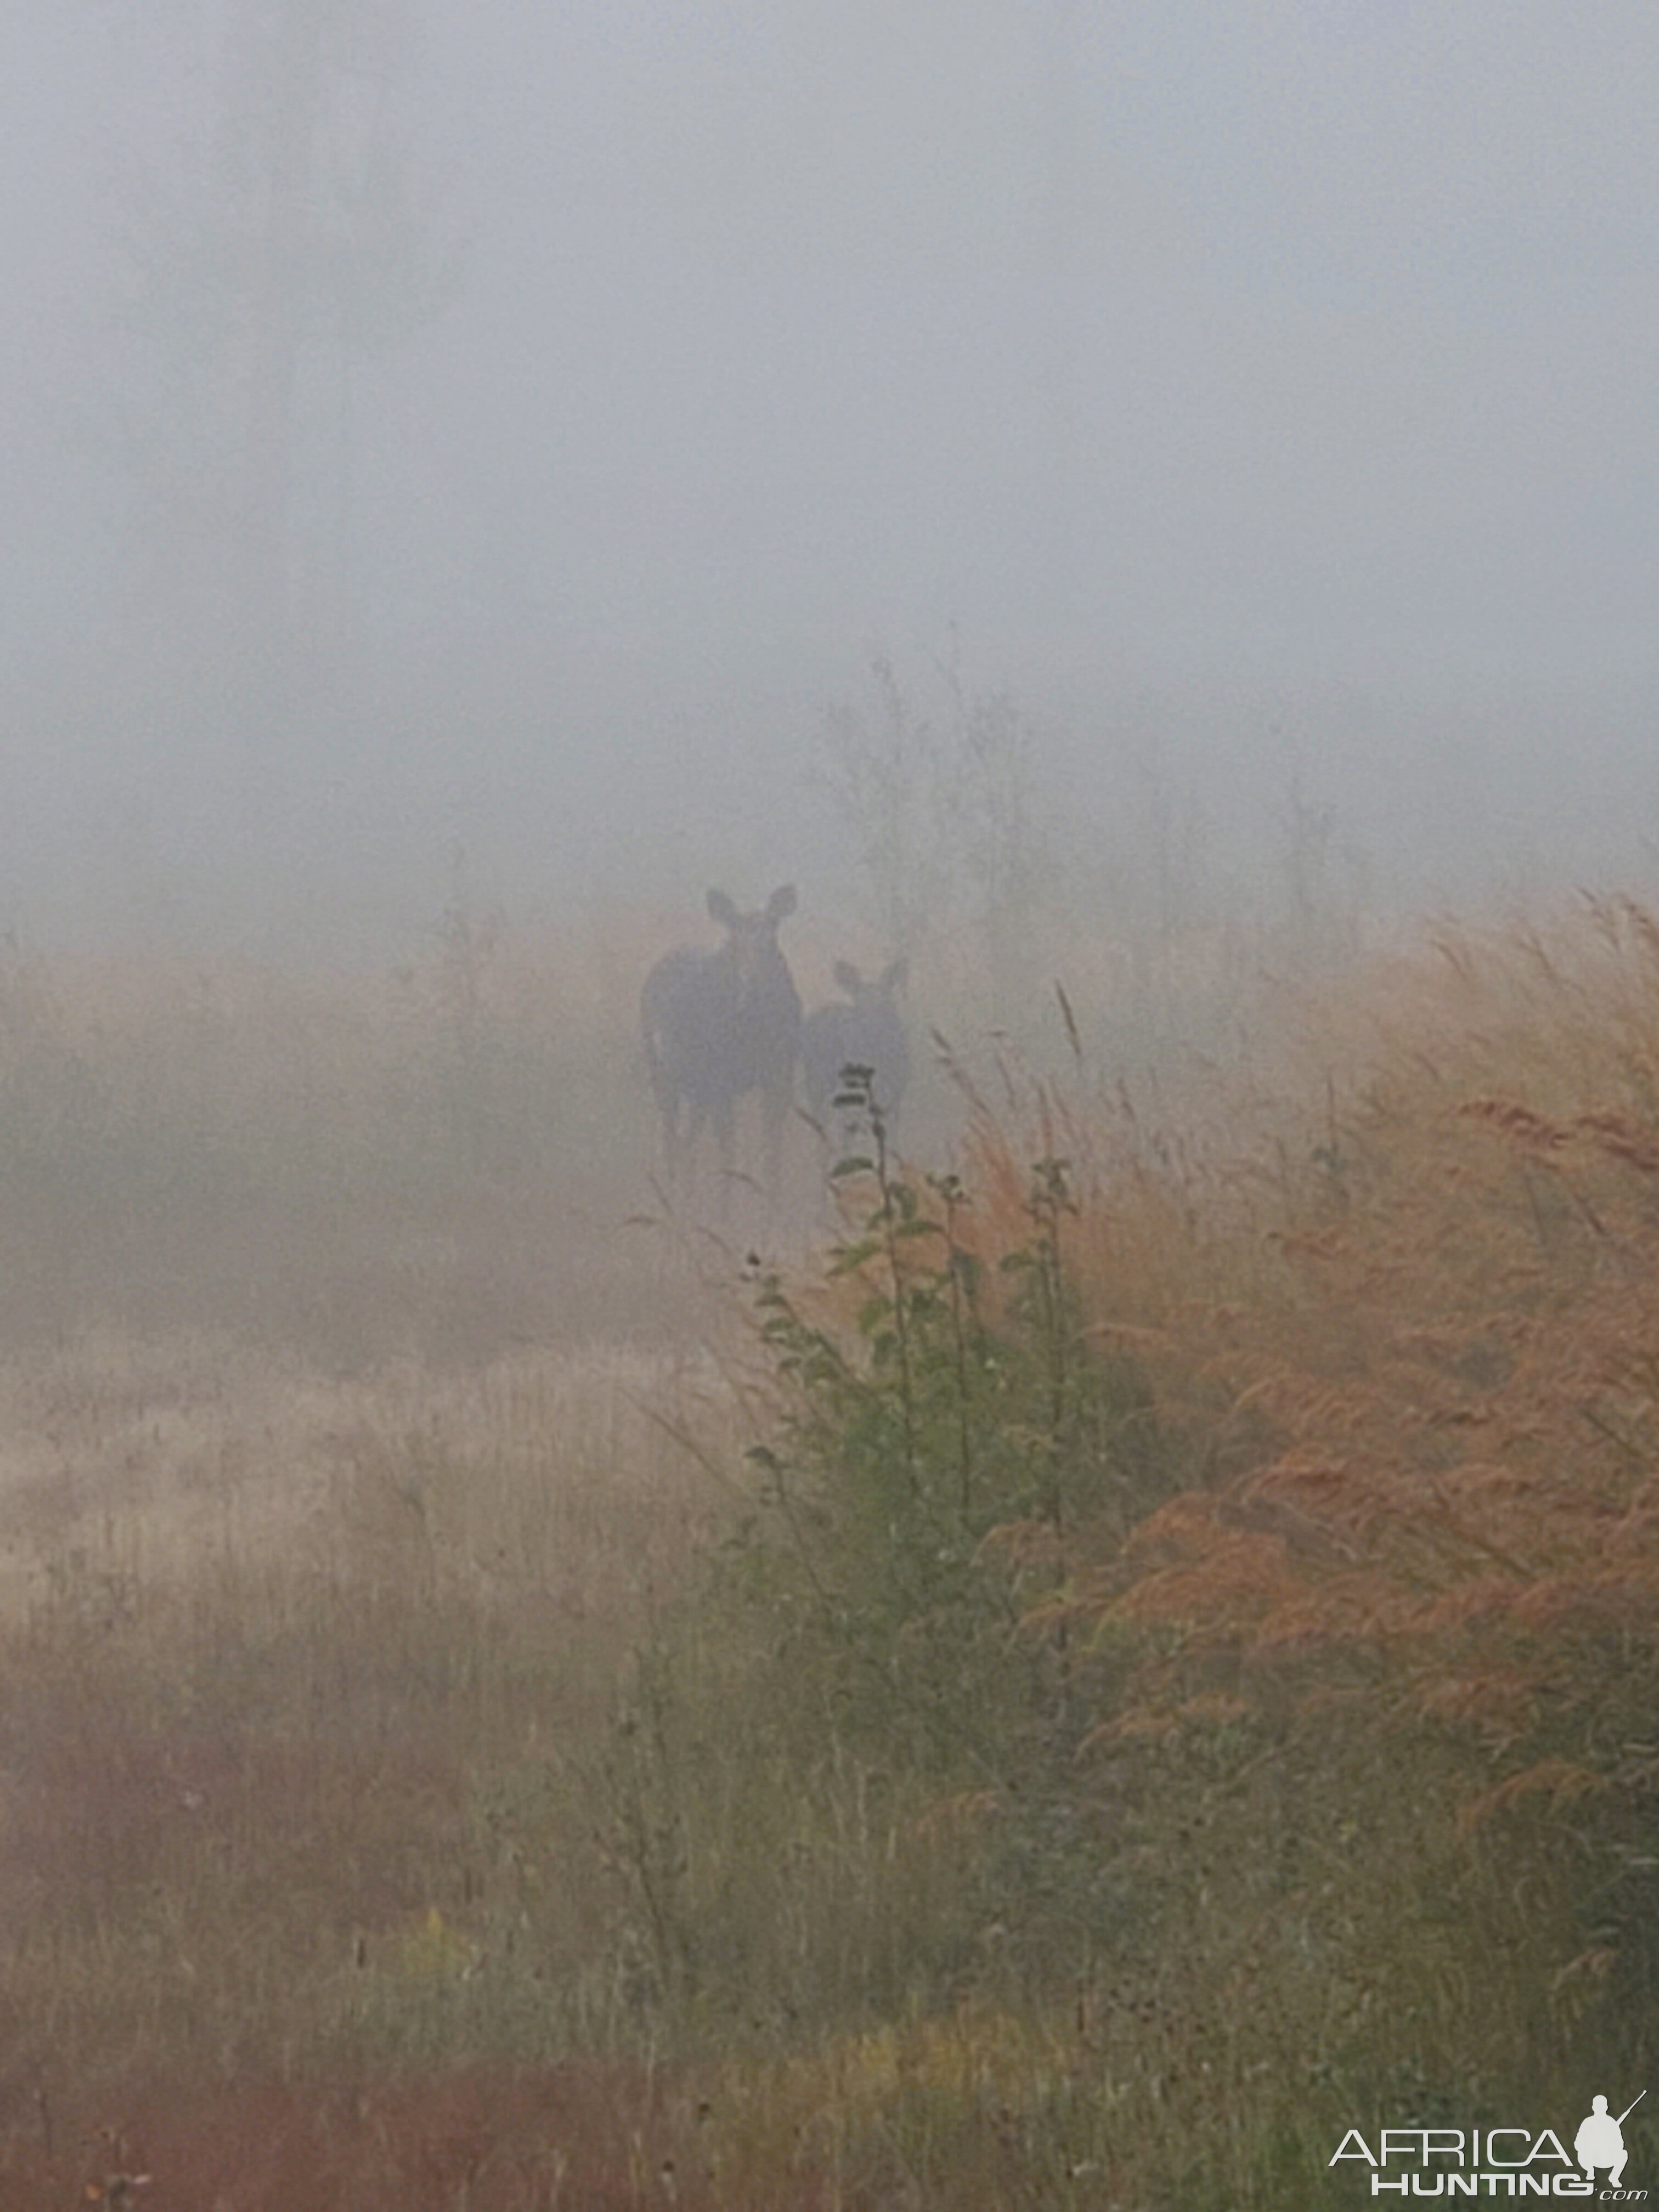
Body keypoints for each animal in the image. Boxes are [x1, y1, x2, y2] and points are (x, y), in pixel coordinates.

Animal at [641, 880, 805, 1203]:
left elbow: (772, 1152)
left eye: (772, 934)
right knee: (671, 1139)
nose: (753, 987)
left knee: (687, 1139)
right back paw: (671, 1200)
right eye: (735, 941)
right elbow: (728, 1152)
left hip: (696, 1088)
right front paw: (724, 1211)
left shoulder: (780, 1078)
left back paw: (687, 1196)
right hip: (663, 1074)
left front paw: (774, 1209)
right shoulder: (720, 1084)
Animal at [800, 964, 916, 1177]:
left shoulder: (896, 1093)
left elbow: (892, 1138)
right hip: (818, 1086)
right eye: (859, 1002)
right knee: (827, 1134)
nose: (872, 1024)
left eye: (886, 1001)